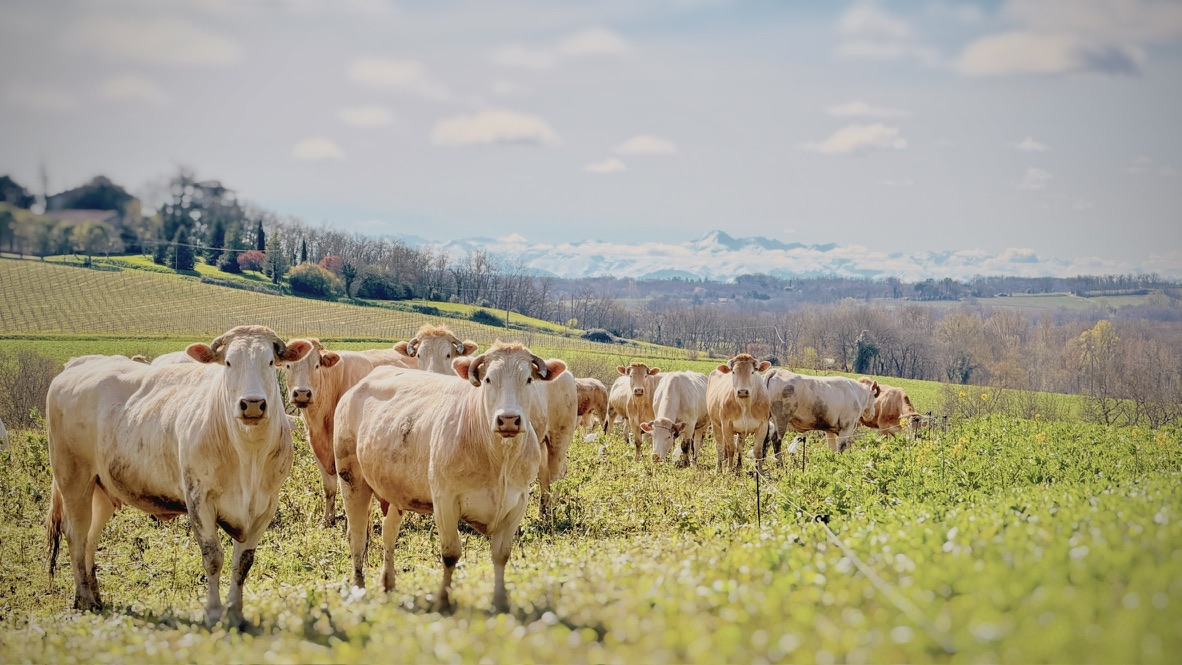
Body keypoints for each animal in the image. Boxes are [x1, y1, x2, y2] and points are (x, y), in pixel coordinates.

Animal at [45, 325, 312, 627]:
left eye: (269, 362)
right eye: (228, 363)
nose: (252, 404)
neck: (248, 455)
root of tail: (78, 365)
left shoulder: (265, 505)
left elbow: (243, 562)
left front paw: (235, 613)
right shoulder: (198, 499)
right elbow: (213, 557)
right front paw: (214, 612)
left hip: (102, 489)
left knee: (90, 537)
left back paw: (96, 596)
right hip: (73, 477)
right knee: (76, 534)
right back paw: (84, 599)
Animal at [281, 339, 416, 527]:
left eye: (316, 365)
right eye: (288, 366)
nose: (302, 393)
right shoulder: (318, 450)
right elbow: (329, 488)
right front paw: (327, 519)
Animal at [334, 341, 567, 613]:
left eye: (528, 379)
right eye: (488, 379)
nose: (508, 419)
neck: (499, 459)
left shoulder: (517, 502)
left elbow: (501, 554)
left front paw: (500, 600)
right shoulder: (444, 500)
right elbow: (450, 554)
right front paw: (443, 600)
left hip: (394, 491)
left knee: (388, 533)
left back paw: (388, 582)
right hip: (351, 479)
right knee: (358, 536)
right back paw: (359, 587)